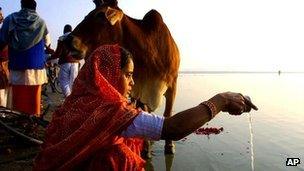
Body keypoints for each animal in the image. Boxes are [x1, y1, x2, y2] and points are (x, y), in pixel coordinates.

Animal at [64, 0, 178, 154]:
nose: (68, 40)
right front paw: (145, 148)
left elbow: (168, 113)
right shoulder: (140, 90)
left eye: (100, 15)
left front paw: (169, 146)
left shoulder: (172, 85)